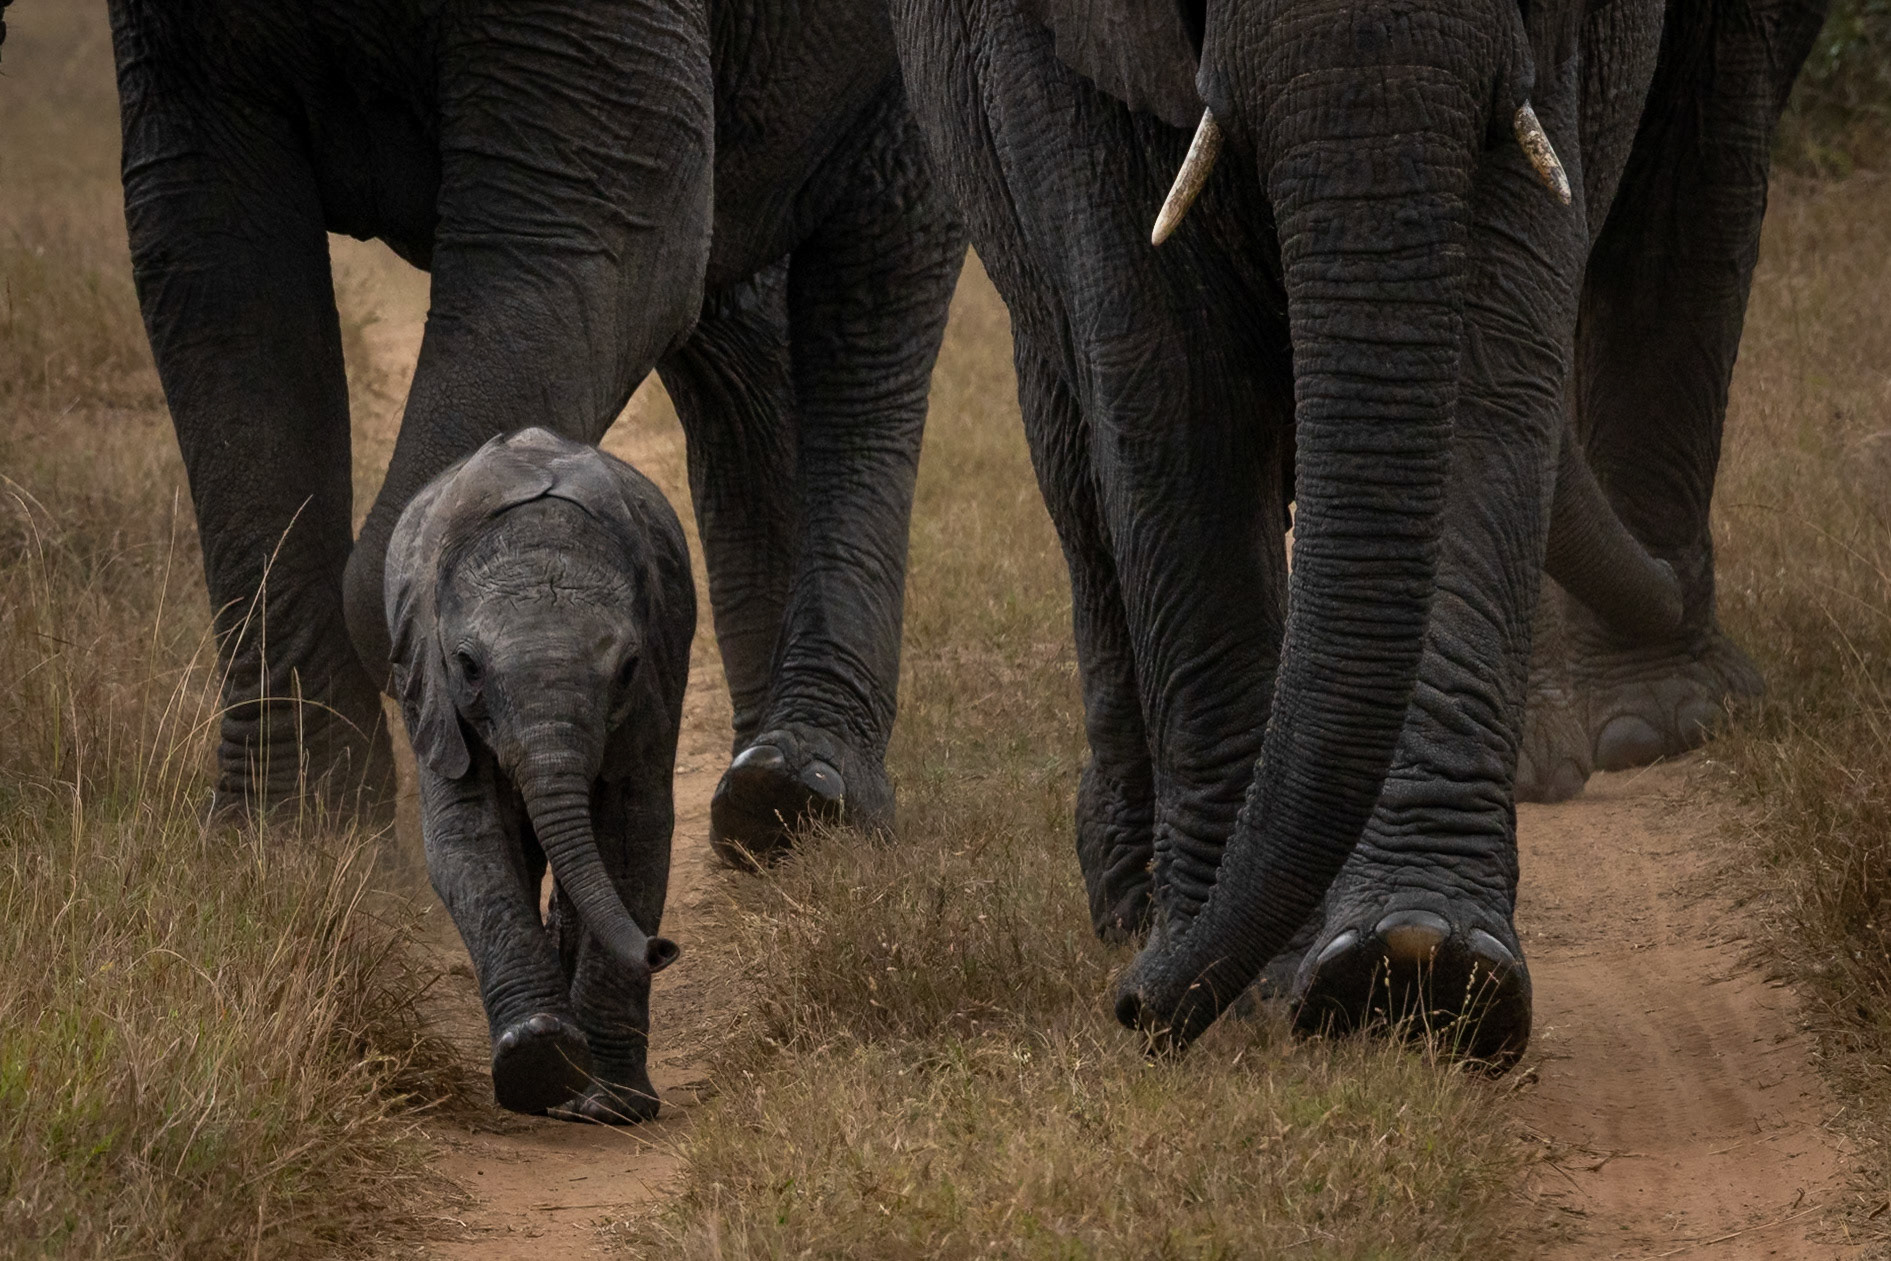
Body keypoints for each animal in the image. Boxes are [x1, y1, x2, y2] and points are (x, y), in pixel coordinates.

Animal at [109, 0, 966, 856]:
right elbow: (216, 283)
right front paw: (290, 842)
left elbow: (610, 244)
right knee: (736, 320)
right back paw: (760, 790)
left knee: (871, 290)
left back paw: (804, 791)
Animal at [387, 428, 690, 1122]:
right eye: (468, 666)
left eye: (628, 669)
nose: (662, 950)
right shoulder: (433, 687)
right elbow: (465, 840)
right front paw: (539, 1061)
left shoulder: (658, 680)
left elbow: (634, 836)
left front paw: (611, 1108)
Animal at [889, 0, 1825, 1059]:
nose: (1133, 1010)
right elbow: (1172, 375)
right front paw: (1262, 987)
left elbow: (1485, 362)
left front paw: (1421, 965)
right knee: (1077, 472)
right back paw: (1132, 909)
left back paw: (1646, 719)